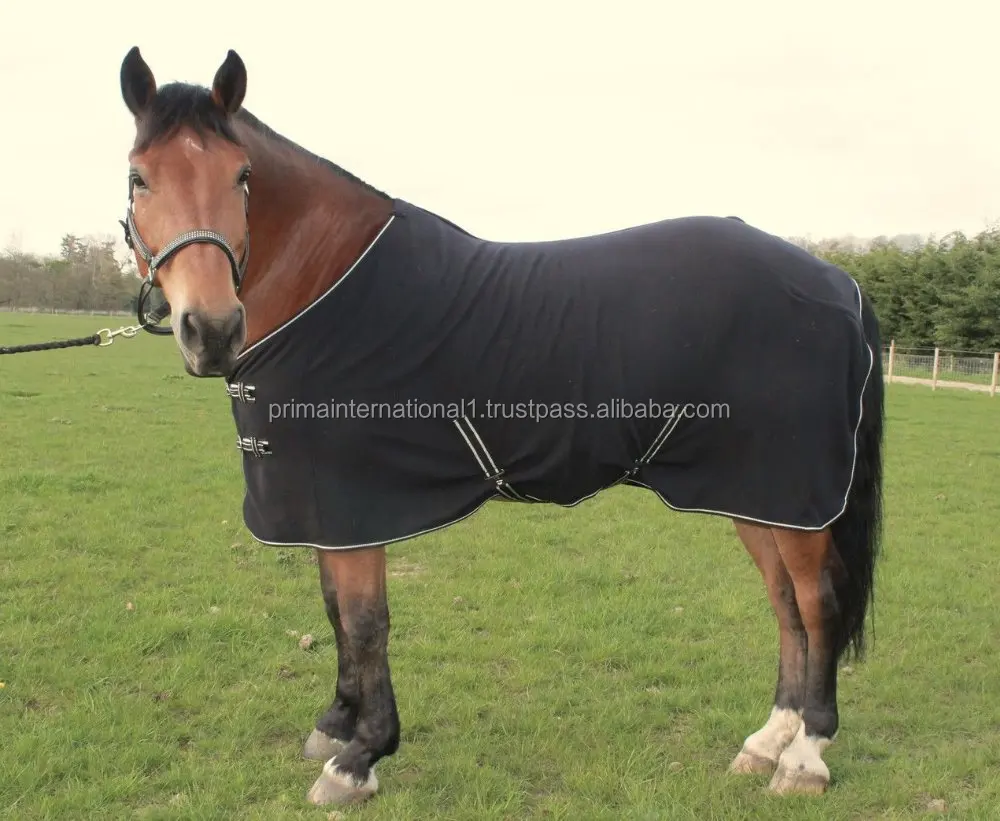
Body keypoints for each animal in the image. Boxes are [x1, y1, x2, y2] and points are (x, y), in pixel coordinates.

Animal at [117, 46, 885, 807]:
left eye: (241, 175)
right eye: (139, 177)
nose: (212, 330)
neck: (328, 287)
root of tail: (838, 283)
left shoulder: (356, 505)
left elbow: (365, 622)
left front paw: (361, 756)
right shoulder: (322, 508)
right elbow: (335, 610)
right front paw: (335, 726)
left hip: (793, 496)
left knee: (816, 604)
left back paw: (806, 755)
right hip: (755, 493)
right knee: (786, 606)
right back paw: (767, 741)